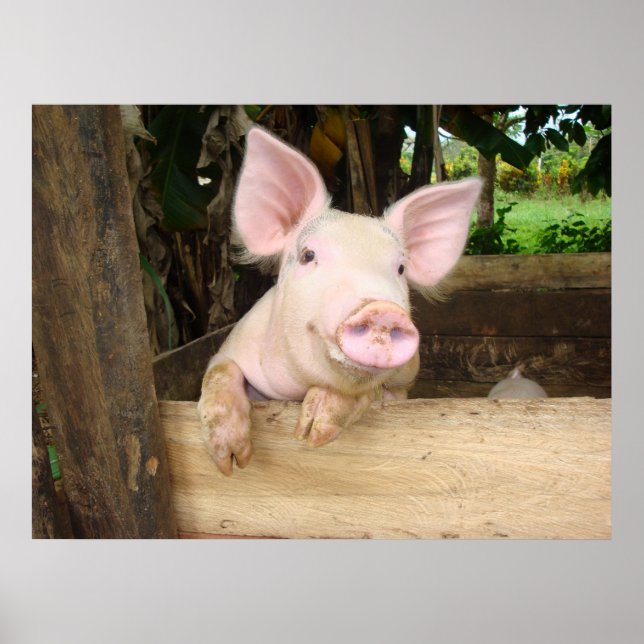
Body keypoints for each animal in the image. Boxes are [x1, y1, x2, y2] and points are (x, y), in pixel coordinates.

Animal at [197, 127, 482, 475]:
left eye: (400, 268)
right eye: (308, 255)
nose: (382, 310)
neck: (297, 388)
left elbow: (366, 392)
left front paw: (311, 434)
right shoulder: (230, 348)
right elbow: (218, 373)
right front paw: (231, 463)